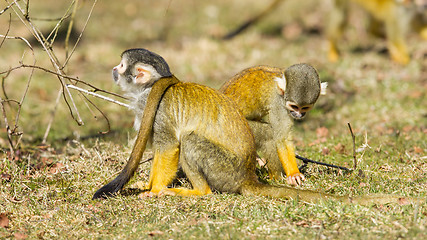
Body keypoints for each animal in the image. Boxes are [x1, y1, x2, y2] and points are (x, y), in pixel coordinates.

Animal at [92, 48, 416, 206]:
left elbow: (169, 146)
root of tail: (246, 176)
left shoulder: (158, 108)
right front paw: (147, 186)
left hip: (225, 170)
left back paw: (200, 193)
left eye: (122, 67)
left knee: (193, 141)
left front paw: (154, 190)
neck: (151, 91)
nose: (113, 70)